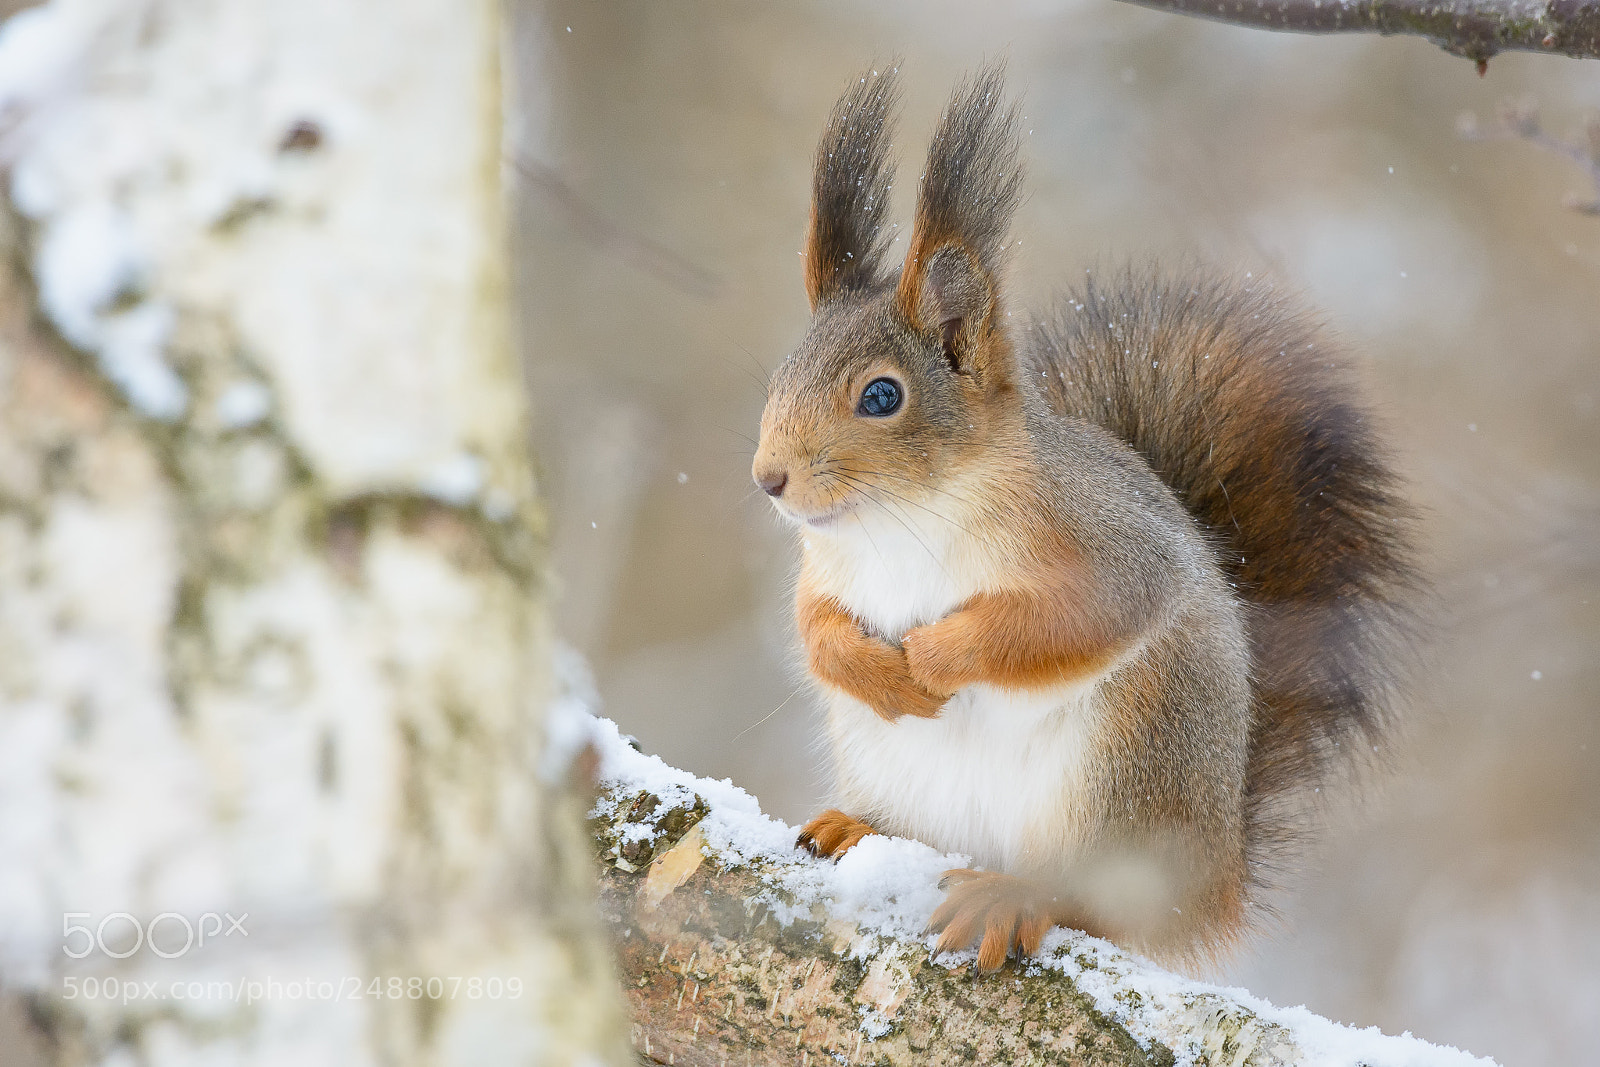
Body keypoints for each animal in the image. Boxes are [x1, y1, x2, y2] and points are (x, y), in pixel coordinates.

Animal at [750, 63, 1420, 972]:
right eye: (779, 377)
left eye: (882, 396)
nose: (769, 478)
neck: (902, 517)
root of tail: (1213, 885)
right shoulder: (826, 568)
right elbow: (813, 621)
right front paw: (870, 666)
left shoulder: (1104, 542)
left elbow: (1079, 617)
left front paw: (936, 653)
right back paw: (855, 826)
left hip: (1124, 772)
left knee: (1092, 903)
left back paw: (1015, 892)